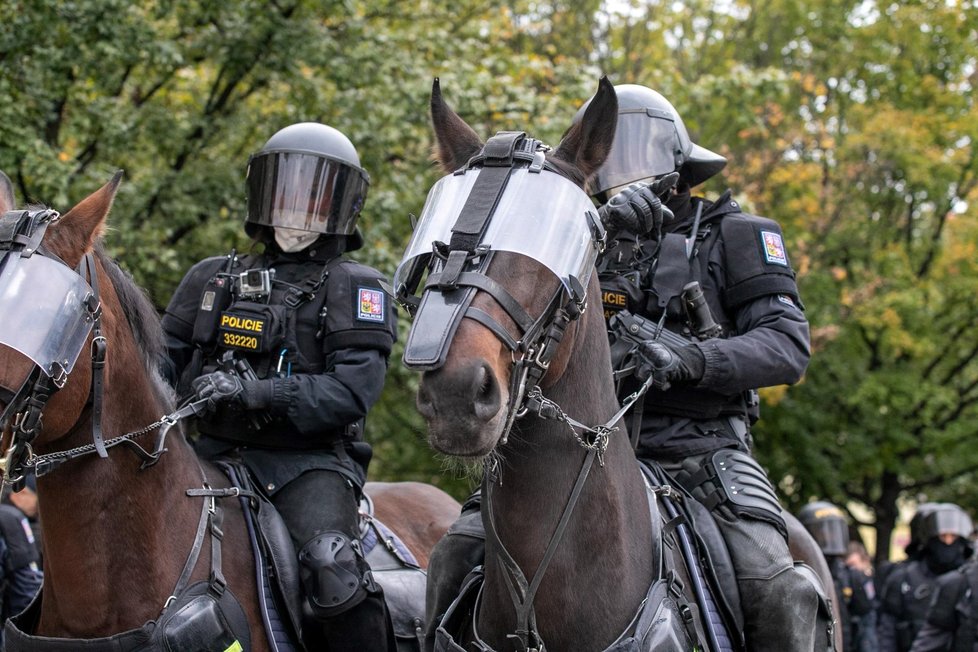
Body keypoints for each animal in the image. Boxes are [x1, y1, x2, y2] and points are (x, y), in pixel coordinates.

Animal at [390, 77, 840, 652]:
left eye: (557, 242)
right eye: (438, 248)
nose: (457, 395)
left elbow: (783, 337)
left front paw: (669, 357)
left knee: (783, 591)